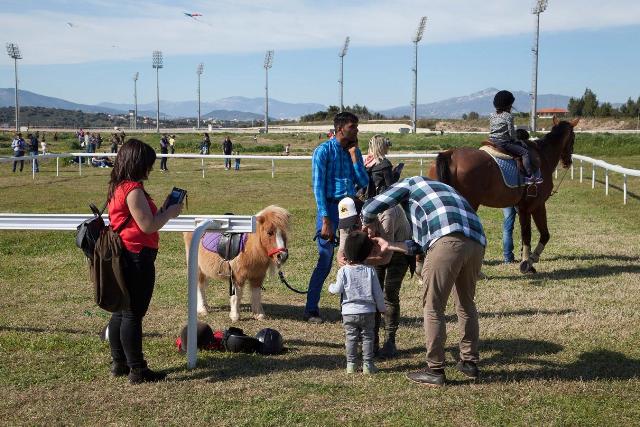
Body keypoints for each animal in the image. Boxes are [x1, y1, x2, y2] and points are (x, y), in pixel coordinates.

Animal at [430, 116, 580, 274]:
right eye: (573, 138)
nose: (568, 162)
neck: (542, 157)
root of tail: (451, 154)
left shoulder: (524, 208)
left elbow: (534, 235)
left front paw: (530, 262)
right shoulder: (534, 206)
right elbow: (533, 235)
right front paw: (528, 262)